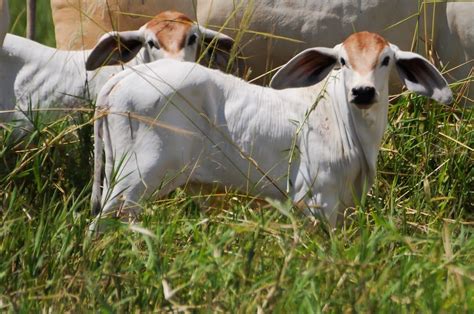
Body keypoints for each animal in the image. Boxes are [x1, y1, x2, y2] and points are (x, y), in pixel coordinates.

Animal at [91, 31, 452, 228]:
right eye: (342, 61)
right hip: (133, 183)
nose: (362, 92)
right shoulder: (316, 198)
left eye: (386, 60)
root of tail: (122, 79)